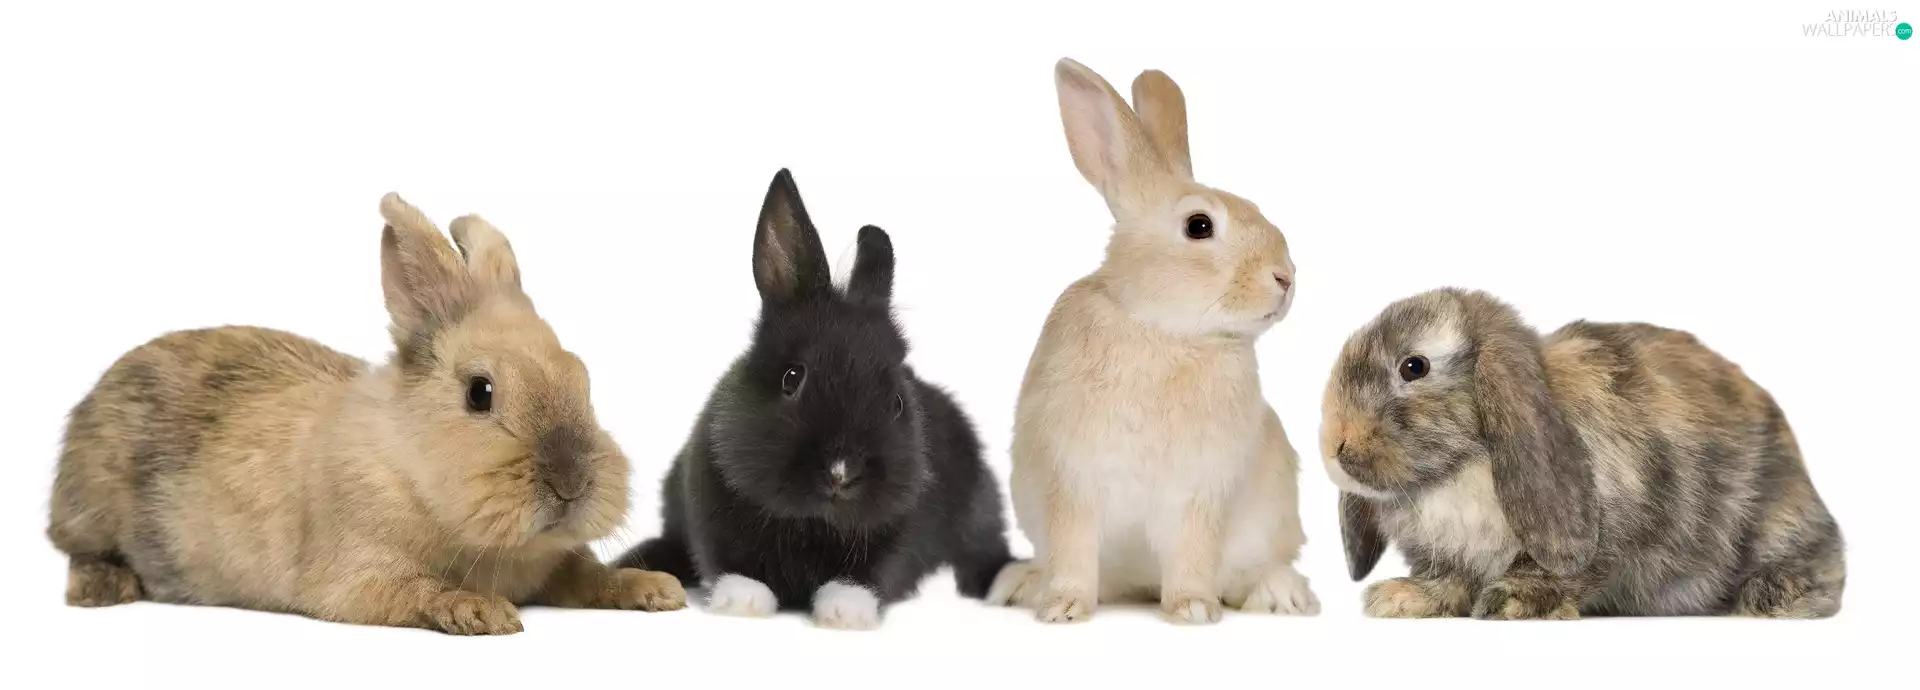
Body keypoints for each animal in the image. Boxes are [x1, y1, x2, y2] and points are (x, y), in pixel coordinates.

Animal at [46, 193, 687, 635]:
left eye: (582, 377)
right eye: (480, 392)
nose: (571, 483)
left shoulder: (556, 566)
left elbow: (589, 576)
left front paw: (656, 588)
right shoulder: (359, 576)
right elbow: (417, 590)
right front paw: (481, 611)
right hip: (89, 505)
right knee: (74, 550)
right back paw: (106, 587)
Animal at [612, 169, 1015, 631]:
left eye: (897, 403)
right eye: (792, 378)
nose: (842, 473)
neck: (810, 522)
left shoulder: (899, 531)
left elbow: (872, 574)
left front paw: (843, 612)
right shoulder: (705, 507)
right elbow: (727, 564)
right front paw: (744, 602)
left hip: (980, 508)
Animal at [986, 58, 1318, 625]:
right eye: (1199, 225)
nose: (1285, 277)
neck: (1162, 328)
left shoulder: (1200, 494)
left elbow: (1192, 555)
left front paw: (1193, 609)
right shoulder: (1072, 481)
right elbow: (1073, 551)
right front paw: (1063, 607)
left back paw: (1281, 593)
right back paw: (1021, 584)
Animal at [1322, 287, 1845, 619]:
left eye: (1414, 367)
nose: (1335, 448)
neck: (1460, 469)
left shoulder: (1619, 521)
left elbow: (1562, 570)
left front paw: (1510, 601)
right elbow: (1448, 577)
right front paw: (1404, 598)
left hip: (1779, 519)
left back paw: (1775, 595)